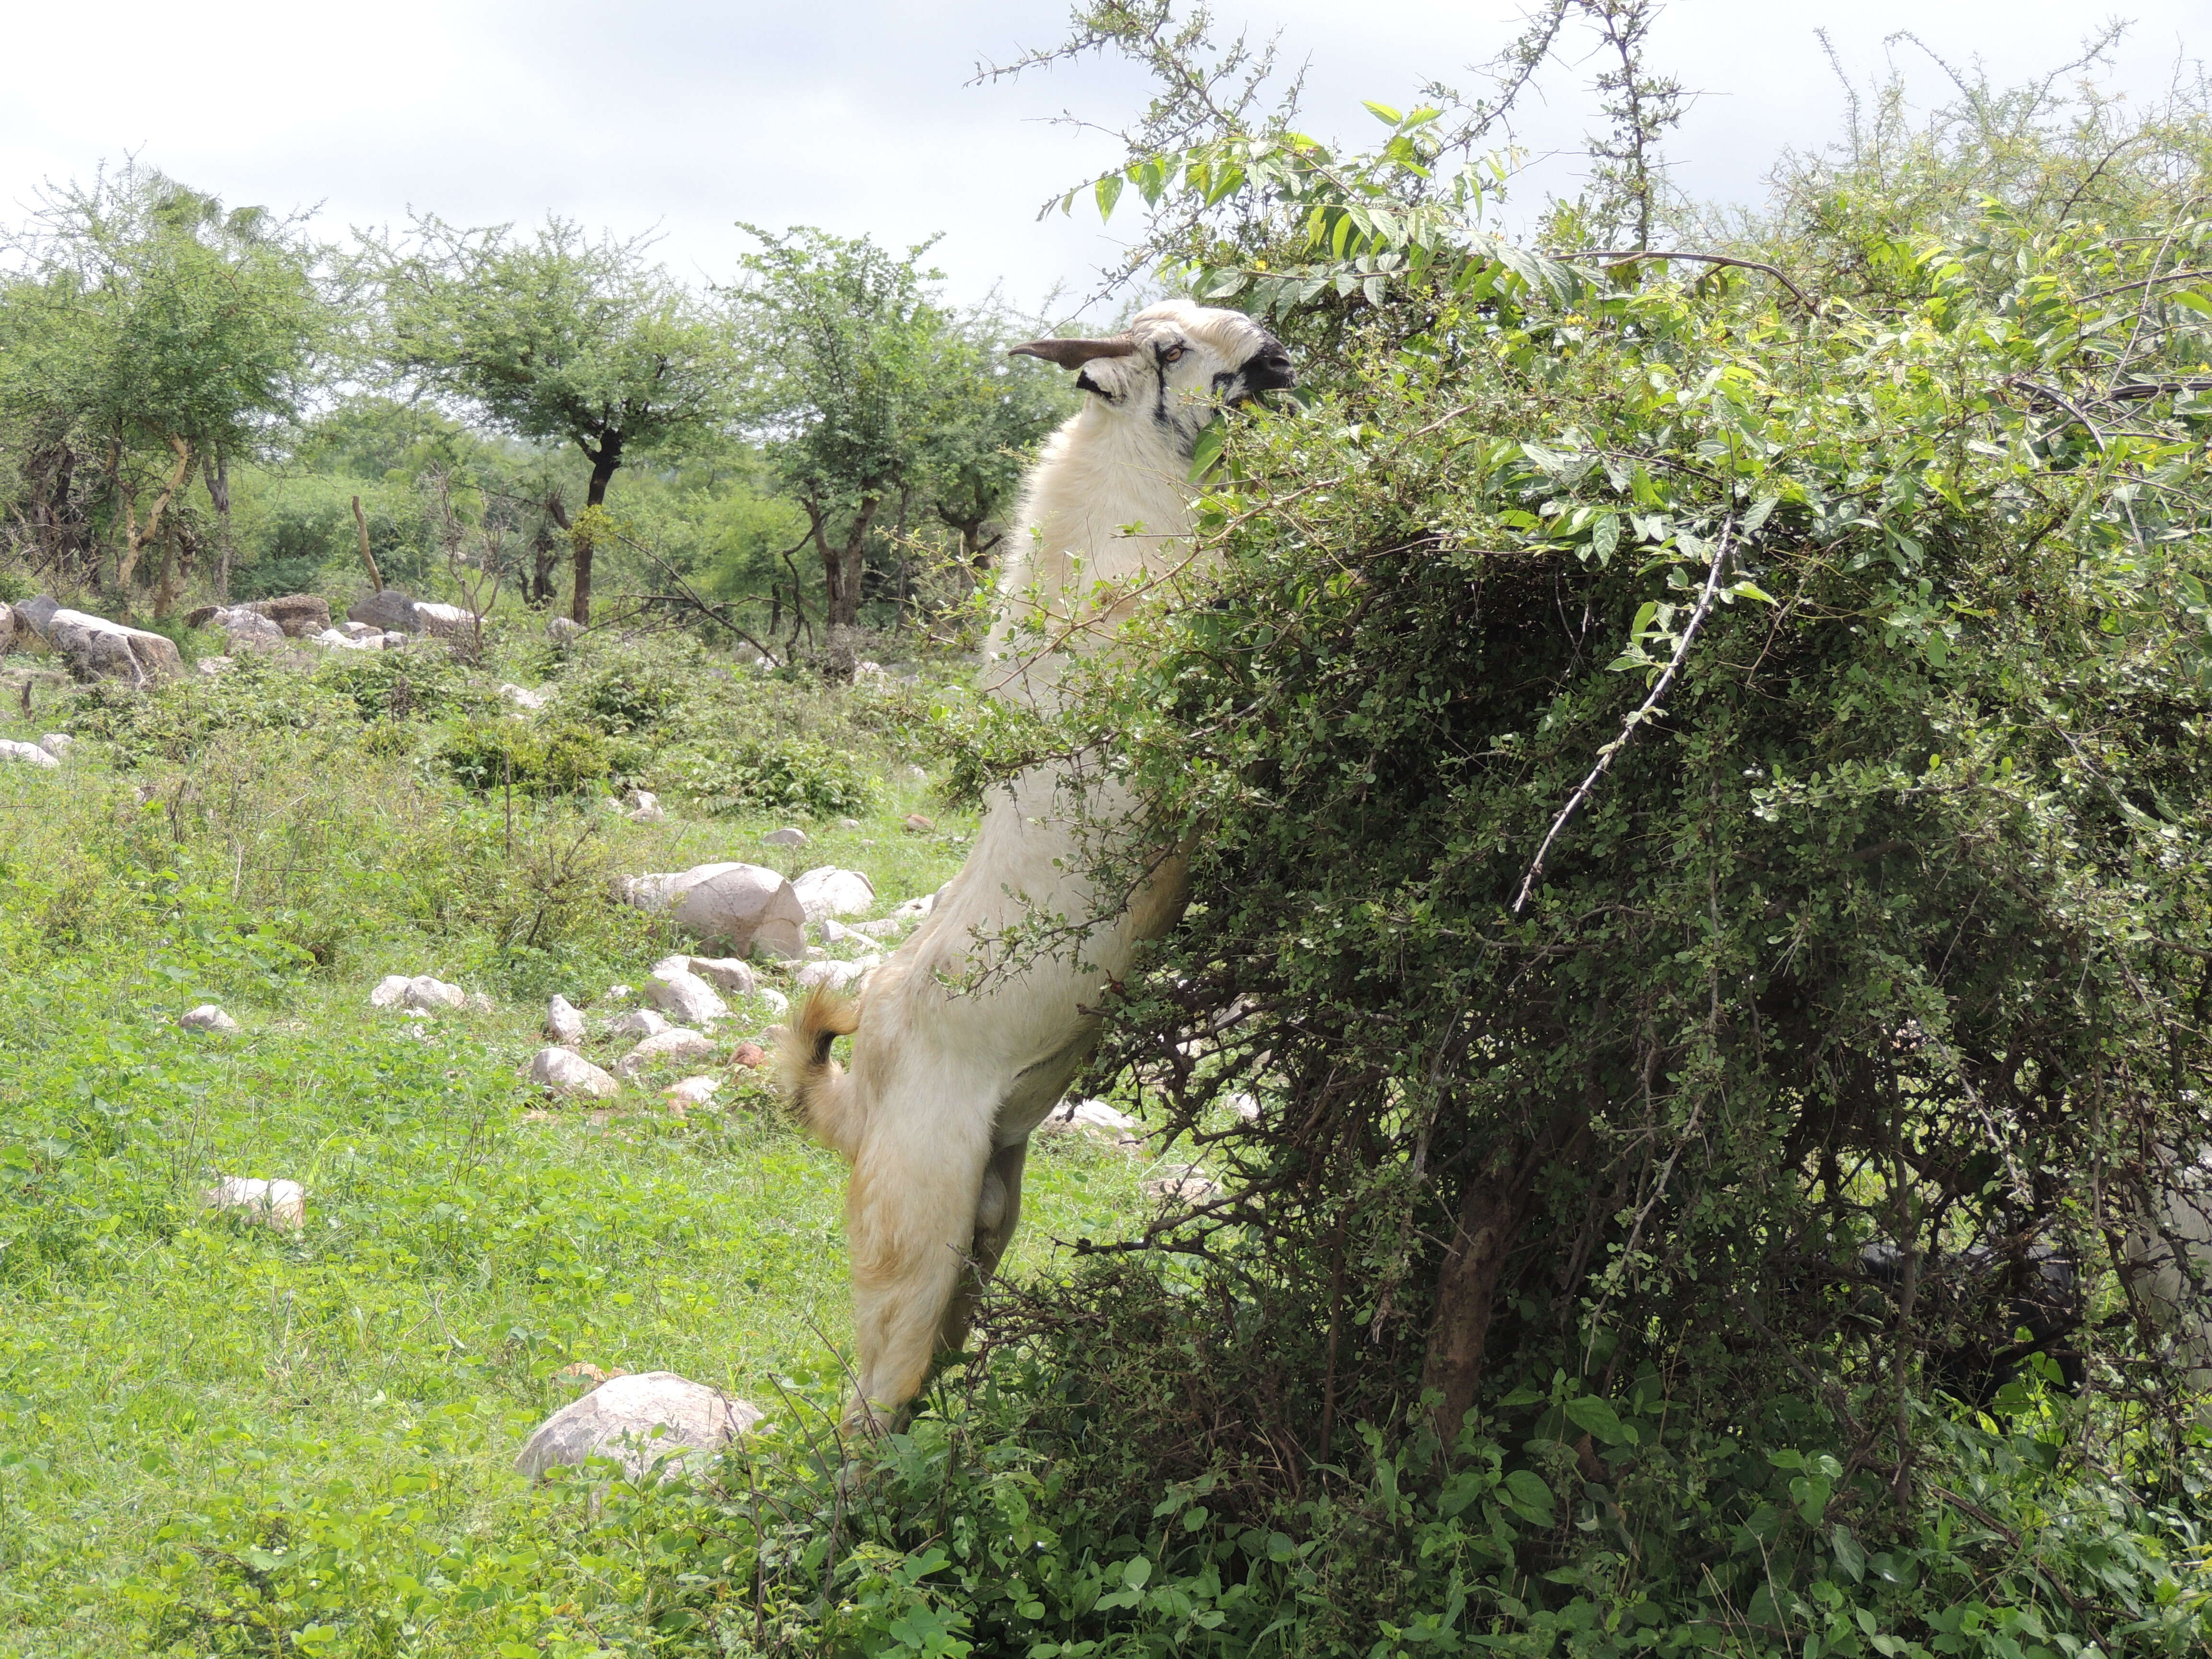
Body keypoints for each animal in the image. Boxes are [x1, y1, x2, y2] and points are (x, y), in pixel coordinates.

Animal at [779, 305, 1292, 1433]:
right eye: (1167, 350)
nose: (1275, 352)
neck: (1111, 539)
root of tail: (856, 1100)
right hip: (914, 1235)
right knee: (869, 1403)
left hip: (986, 1218)